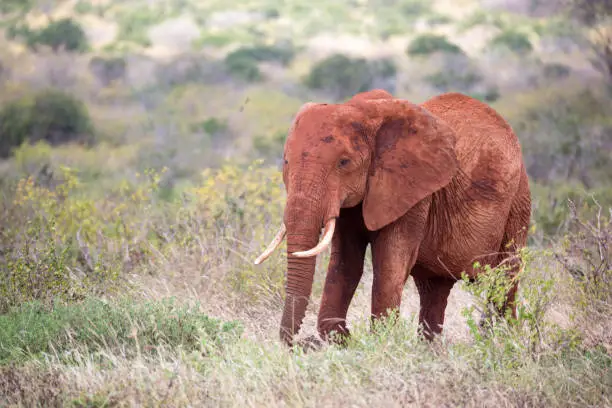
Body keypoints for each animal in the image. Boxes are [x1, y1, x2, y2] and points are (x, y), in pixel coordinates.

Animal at [253, 89, 532, 348]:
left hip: (519, 203)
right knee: (435, 288)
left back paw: (500, 341)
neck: (366, 111)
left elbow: (390, 262)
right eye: (285, 161)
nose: (301, 343)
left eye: (344, 162)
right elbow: (345, 263)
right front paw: (343, 338)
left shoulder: (413, 192)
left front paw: (377, 343)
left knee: (505, 278)